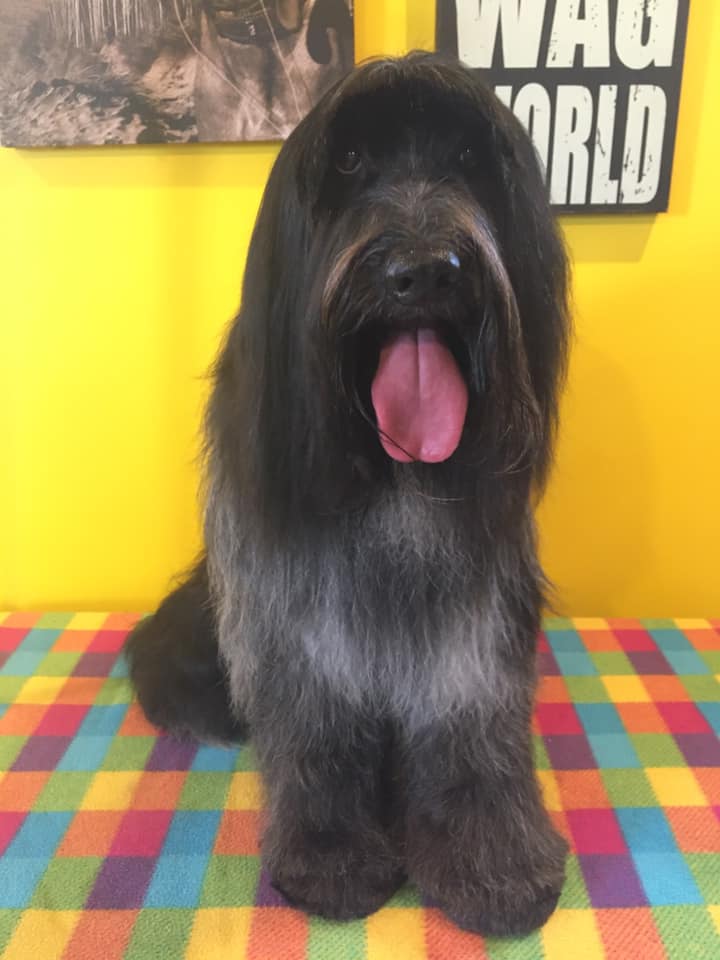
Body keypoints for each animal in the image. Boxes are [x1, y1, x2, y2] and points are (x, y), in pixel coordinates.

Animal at [126, 52, 571, 937]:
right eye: (353, 163)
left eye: (469, 161)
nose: (427, 268)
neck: (391, 471)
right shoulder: (294, 616)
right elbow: (318, 729)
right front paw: (329, 852)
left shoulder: (473, 618)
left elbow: (471, 728)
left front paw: (492, 856)